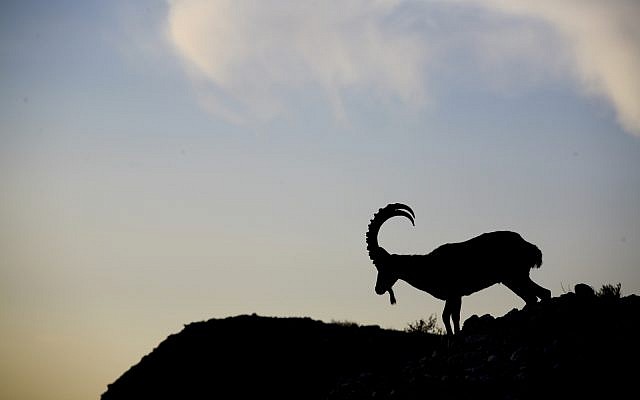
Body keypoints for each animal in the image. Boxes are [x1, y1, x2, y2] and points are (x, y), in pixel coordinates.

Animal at [366, 203, 551, 335]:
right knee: (541, 294)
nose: (378, 289)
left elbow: (448, 317)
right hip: (515, 278)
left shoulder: (453, 293)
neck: (427, 265)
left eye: (381, 265)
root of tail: (529, 247)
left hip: (514, 277)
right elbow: (452, 317)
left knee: (535, 296)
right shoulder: (455, 296)